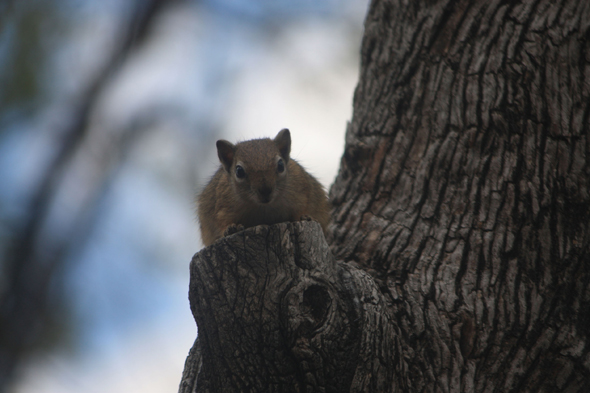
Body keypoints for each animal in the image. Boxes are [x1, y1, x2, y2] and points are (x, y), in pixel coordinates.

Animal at [198, 128, 330, 245]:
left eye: (281, 165)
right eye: (239, 171)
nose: (265, 190)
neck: (264, 207)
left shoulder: (302, 192)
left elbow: (305, 207)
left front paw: (305, 217)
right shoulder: (222, 206)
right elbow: (222, 222)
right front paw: (231, 228)